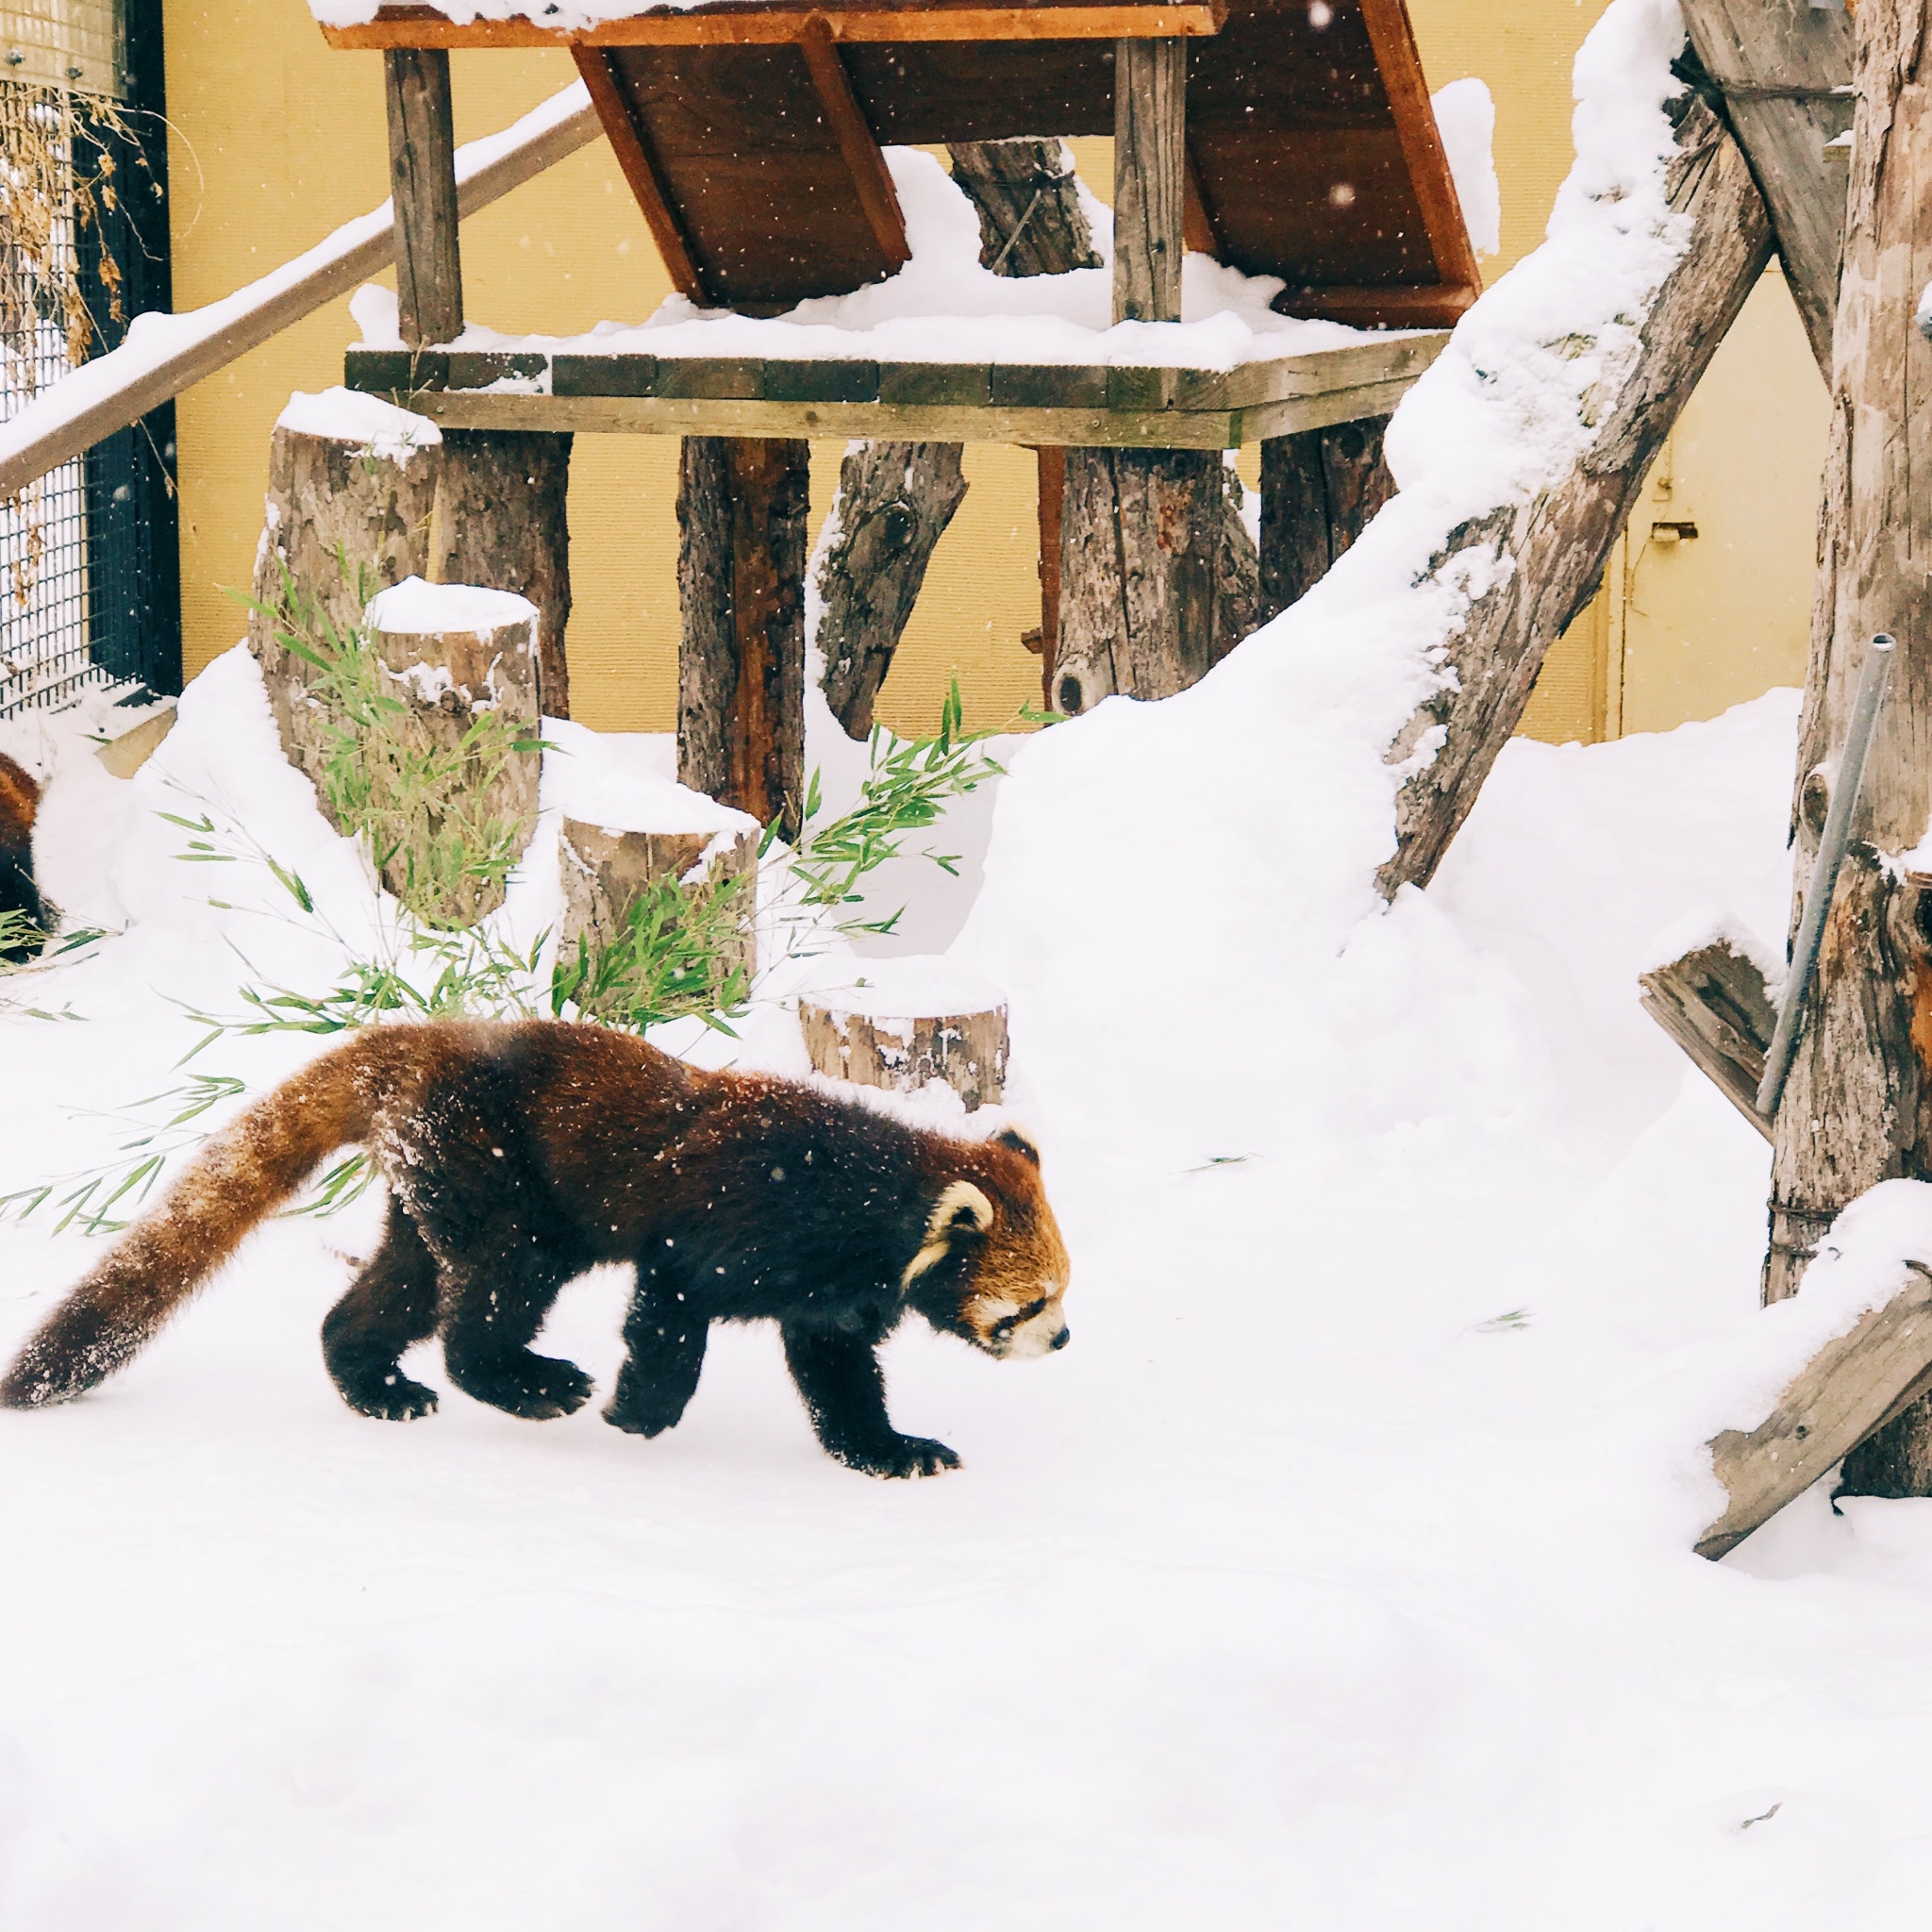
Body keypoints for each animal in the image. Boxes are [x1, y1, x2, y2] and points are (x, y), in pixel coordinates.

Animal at [0, 1027, 1074, 1475]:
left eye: (1067, 1290)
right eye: (1029, 1303)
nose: (1062, 1342)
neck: (855, 1196)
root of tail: (419, 1038)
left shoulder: (829, 1300)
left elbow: (839, 1377)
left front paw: (892, 1451)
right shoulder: (720, 1230)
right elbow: (667, 1319)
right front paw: (639, 1413)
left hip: (430, 1186)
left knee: (393, 1289)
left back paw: (374, 1383)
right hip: (499, 1179)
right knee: (485, 1303)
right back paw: (534, 1381)